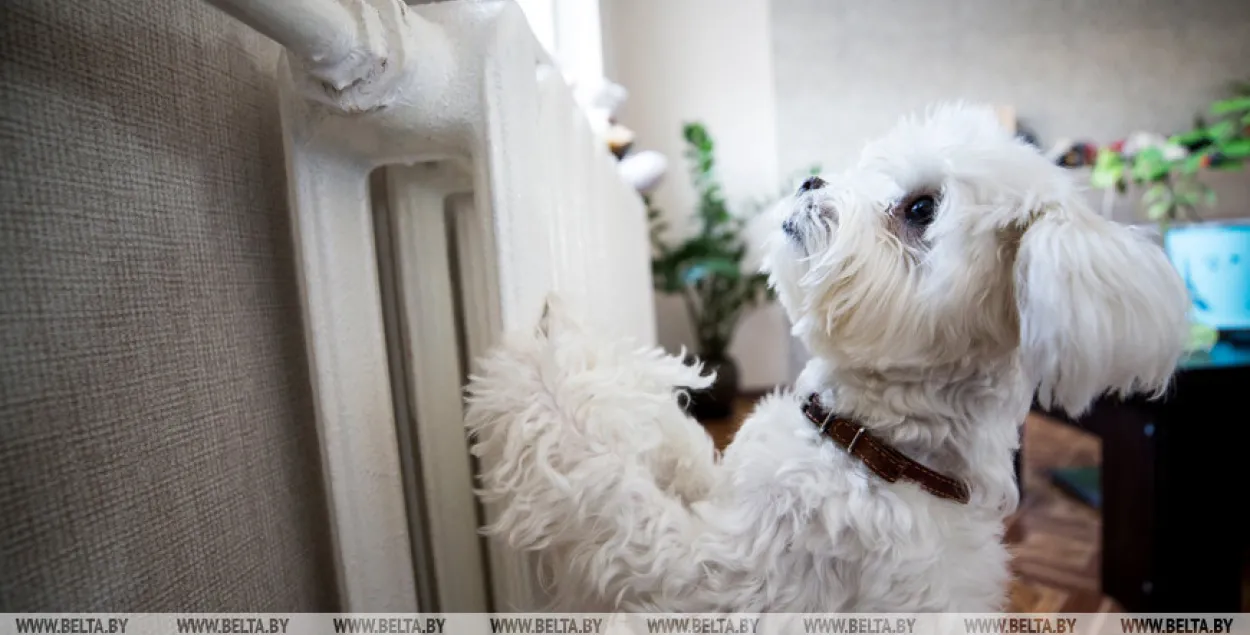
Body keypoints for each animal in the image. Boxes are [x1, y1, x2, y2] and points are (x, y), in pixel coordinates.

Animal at [465, 104, 1185, 615]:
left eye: (920, 207)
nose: (811, 178)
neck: (870, 447)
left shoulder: (714, 584)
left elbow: (611, 493)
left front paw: (544, 373)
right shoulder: (728, 488)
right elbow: (683, 446)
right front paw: (623, 381)